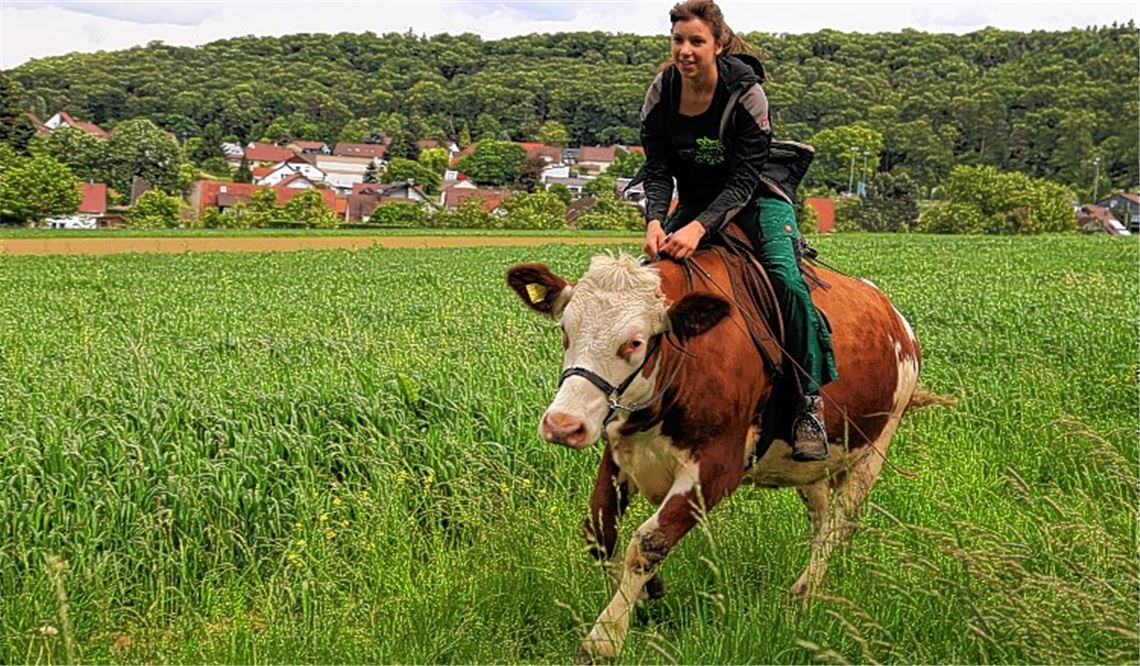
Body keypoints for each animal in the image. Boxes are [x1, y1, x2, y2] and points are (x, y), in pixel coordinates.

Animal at [507, 248, 945, 661]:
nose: (564, 424)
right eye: (566, 331)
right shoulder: (620, 452)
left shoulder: (717, 468)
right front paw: (649, 592)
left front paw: (604, 639)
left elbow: (648, 541)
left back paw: (803, 592)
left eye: (634, 342)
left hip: (874, 449)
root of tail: (897, 320)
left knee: (839, 522)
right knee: (822, 520)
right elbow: (600, 531)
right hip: (811, 465)